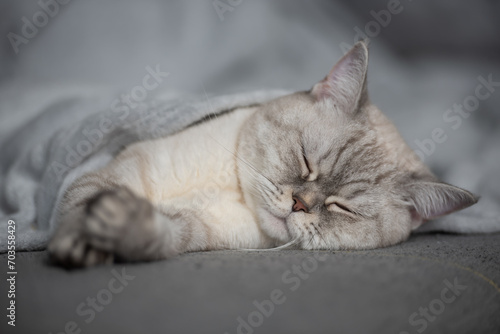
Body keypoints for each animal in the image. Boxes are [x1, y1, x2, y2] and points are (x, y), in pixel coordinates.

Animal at [47, 41, 476, 268]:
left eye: (342, 208)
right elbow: (81, 207)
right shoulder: (113, 175)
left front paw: (110, 235)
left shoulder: (199, 230)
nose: (300, 204)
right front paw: (81, 242)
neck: (231, 190)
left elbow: (160, 234)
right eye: (306, 162)